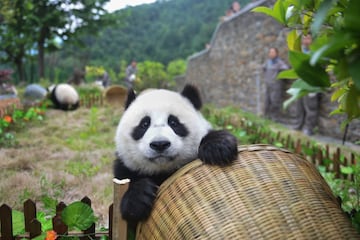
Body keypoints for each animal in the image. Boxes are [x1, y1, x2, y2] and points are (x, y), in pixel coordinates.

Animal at [114, 84, 239, 227]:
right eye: (144, 124)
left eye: (174, 123)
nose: (160, 144)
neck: (162, 171)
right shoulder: (125, 169)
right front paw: (139, 199)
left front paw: (218, 148)